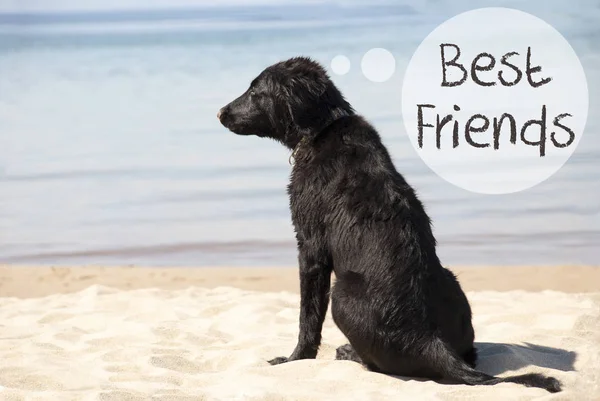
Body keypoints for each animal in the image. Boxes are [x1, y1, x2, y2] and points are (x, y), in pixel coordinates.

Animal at [219, 57, 564, 394]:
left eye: (256, 91)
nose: (220, 113)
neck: (323, 128)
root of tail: (430, 342)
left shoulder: (311, 247)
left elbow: (308, 316)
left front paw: (294, 359)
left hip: (341, 293)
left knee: (375, 363)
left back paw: (349, 352)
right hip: (451, 282)